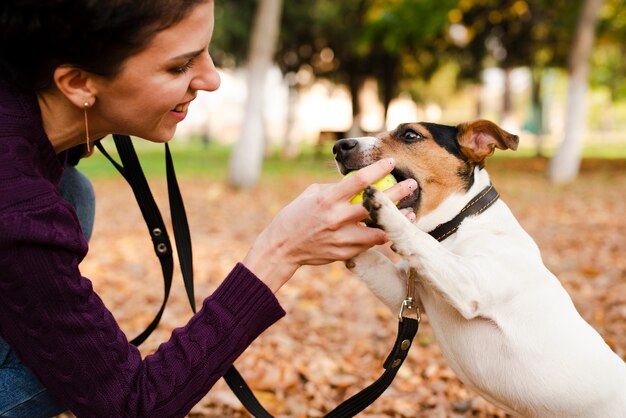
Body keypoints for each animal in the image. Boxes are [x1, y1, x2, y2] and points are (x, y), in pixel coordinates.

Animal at [334, 118, 624, 418]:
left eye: (410, 135)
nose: (339, 146)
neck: (459, 223)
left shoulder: (469, 284)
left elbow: (419, 241)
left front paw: (385, 208)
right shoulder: (402, 289)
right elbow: (373, 258)